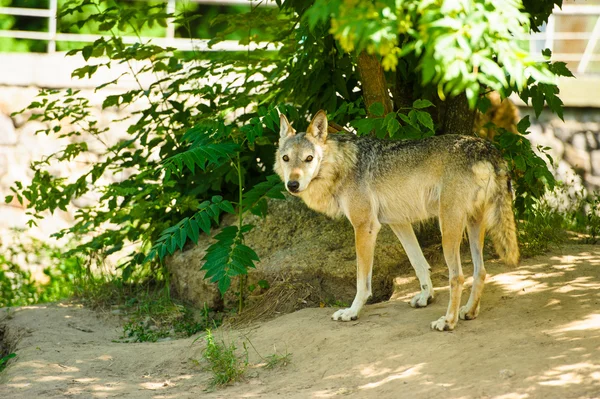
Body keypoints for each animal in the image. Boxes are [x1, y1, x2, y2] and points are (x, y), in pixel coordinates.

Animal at [274, 109, 516, 332]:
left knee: (457, 277)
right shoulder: (399, 223)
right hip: (473, 224)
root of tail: (487, 148)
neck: (341, 166)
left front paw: (351, 312)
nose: (292, 185)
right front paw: (426, 297)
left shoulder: (365, 227)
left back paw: (448, 321)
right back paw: (469, 311)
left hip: (448, 229)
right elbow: (419, 264)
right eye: (286, 159)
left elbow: (363, 282)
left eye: (309, 158)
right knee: (480, 271)